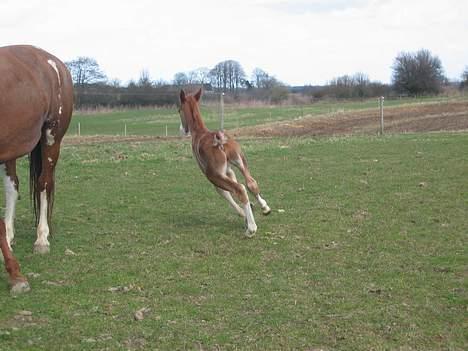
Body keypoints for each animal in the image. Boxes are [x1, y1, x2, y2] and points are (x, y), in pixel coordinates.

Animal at [0, 46, 73, 294]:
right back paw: (11, 234)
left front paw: (16, 276)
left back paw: (42, 238)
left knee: (43, 183)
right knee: (12, 186)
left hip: (52, 137)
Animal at [178, 88, 270, 238]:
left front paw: (243, 214)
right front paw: (249, 210)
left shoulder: (214, 175)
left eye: (178, 109)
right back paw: (265, 208)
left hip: (213, 175)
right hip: (240, 161)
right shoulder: (228, 170)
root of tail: (220, 141)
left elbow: (223, 192)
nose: (182, 129)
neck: (199, 133)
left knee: (239, 188)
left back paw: (251, 228)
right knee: (250, 183)